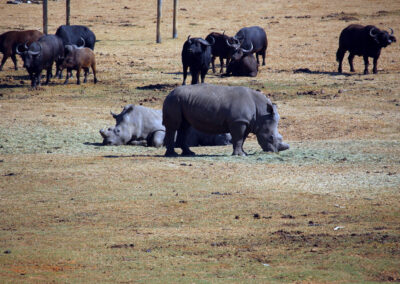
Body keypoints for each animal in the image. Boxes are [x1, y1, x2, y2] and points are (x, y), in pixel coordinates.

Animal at [99, 105, 231, 149]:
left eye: (118, 131)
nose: (106, 143)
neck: (133, 120)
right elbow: (133, 141)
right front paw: (143, 142)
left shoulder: (161, 128)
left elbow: (156, 140)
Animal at [161, 83, 290, 156]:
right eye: (271, 137)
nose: (274, 151)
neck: (261, 113)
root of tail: (169, 93)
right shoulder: (238, 121)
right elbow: (238, 138)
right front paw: (240, 155)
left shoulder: (247, 122)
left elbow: (242, 139)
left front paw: (243, 153)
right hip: (174, 101)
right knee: (174, 127)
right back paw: (172, 155)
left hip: (181, 101)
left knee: (185, 126)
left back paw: (189, 154)